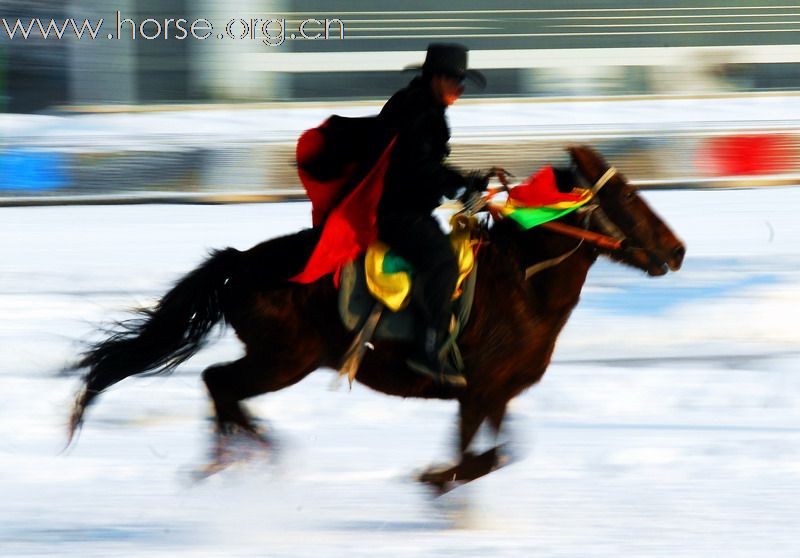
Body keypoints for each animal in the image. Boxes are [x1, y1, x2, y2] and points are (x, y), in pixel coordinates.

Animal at [67, 145, 688, 494]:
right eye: (627, 197)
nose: (678, 250)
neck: (523, 284)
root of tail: (241, 260)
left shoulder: (497, 394)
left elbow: (499, 455)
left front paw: (441, 482)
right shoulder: (476, 391)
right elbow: (476, 460)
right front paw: (433, 480)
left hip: (279, 359)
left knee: (221, 389)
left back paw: (238, 453)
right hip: (285, 359)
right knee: (217, 382)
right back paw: (245, 454)